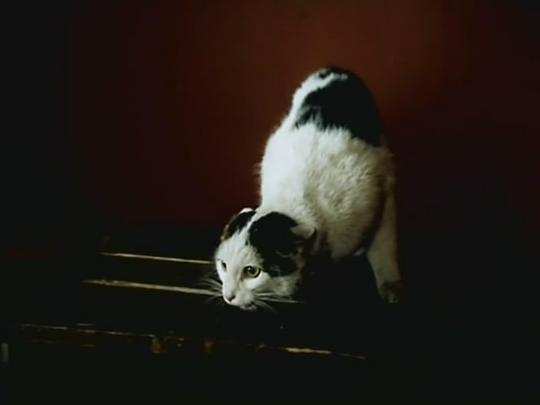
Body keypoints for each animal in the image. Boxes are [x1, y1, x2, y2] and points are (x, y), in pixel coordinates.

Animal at [213, 67, 402, 310]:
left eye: (252, 271)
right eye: (223, 265)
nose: (228, 296)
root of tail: (334, 69)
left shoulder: (381, 194)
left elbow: (384, 246)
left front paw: (391, 288)